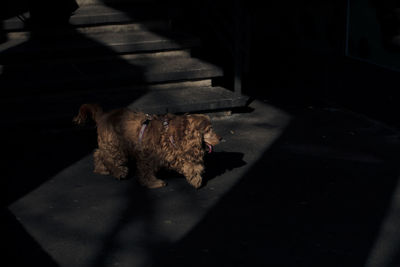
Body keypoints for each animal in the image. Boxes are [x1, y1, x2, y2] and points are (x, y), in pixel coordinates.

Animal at [72, 103, 222, 189]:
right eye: (209, 129)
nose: (221, 138)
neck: (174, 133)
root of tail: (104, 115)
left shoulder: (176, 153)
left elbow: (189, 164)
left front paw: (195, 177)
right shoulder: (147, 157)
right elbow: (146, 172)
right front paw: (154, 183)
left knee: (98, 153)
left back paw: (101, 169)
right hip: (115, 145)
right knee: (108, 157)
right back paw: (118, 171)